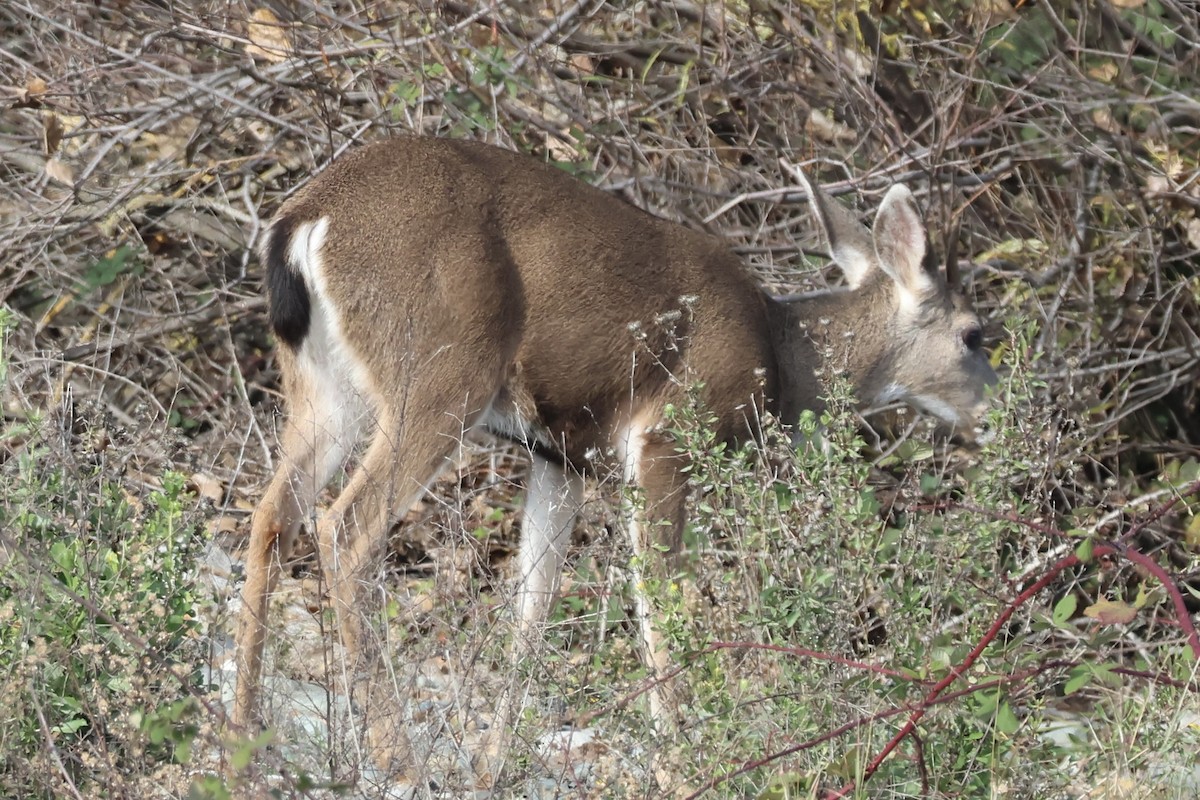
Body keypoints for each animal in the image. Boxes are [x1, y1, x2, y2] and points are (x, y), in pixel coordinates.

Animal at [232, 135, 998, 788]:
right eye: (973, 334)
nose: (996, 412)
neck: (782, 359)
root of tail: (304, 220)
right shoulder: (667, 440)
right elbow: (656, 600)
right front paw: (681, 770)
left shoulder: (559, 455)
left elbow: (532, 610)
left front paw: (490, 766)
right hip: (440, 372)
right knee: (345, 526)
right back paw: (396, 758)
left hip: (323, 387)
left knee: (272, 516)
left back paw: (240, 742)